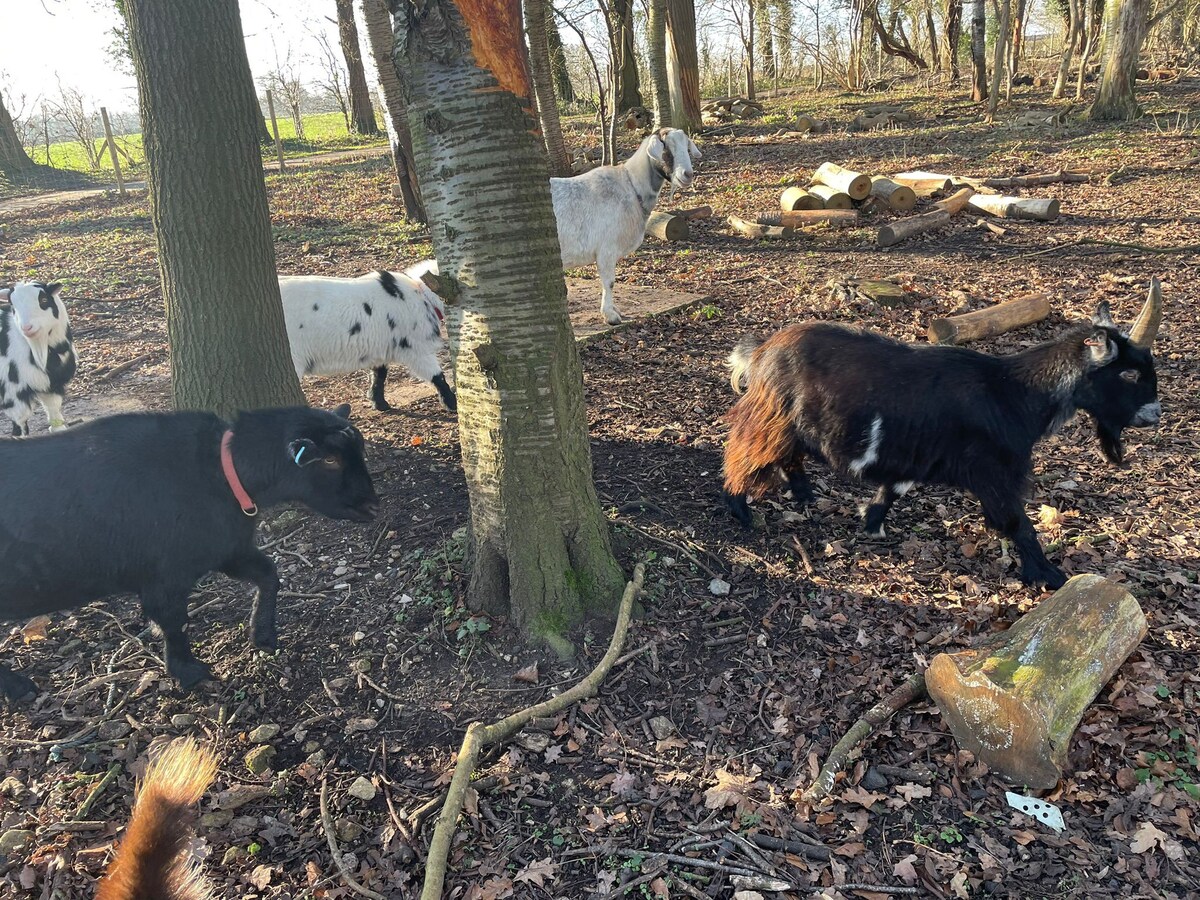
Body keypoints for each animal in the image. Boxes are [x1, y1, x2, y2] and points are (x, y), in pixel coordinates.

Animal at [0, 280, 77, 439]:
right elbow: (20, 425)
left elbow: (54, 411)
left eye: (44, 300)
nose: (26, 327)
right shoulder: (12, 392)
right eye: (13, 306)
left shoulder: (51, 385)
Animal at [0, 405, 374, 700]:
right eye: (330, 459)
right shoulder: (165, 576)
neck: (218, 472)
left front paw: (263, 636)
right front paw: (188, 671)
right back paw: (19, 689)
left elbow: (269, 575)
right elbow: (172, 620)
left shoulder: (226, 549)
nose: (372, 504)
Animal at [278, 270, 456, 415]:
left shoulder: (380, 347)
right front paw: (452, 403)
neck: (421, 294)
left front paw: (380, 404)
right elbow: (437, 376)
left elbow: (379, 375)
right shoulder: (416, 349)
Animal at [720, 283, 1161, 592]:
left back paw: (804, 494)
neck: (1014, 393)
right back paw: (740, 510)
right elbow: (1017, 522)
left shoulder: (918, 456)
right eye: (1128, 374)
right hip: (770, 416)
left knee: (785, 454)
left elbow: (893, 489)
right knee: (741, 450)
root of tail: (761, 350)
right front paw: (1047, 575)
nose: (1155, 415)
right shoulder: (992, 472)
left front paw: (872, 524)